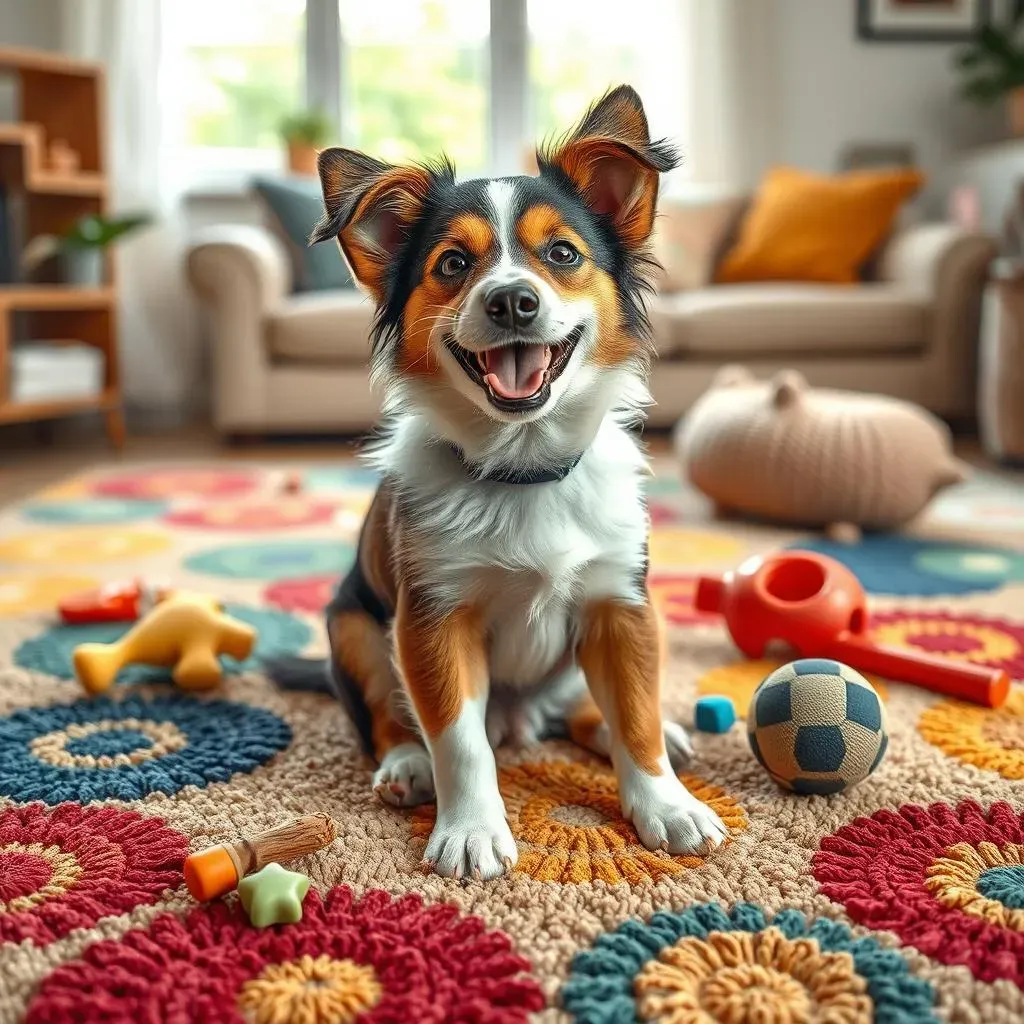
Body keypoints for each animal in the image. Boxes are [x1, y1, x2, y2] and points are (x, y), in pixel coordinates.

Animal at [282, 86, 729, 880]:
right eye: (454, 263)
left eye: (563, 254)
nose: (512, 300)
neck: (524, 470)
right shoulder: (432, 617)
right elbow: (459, 741)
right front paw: (469, 830)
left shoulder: (622, 605)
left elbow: (635, 717)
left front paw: (666, 803)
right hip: (352, 625)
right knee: (388, 717)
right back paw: (405, 764)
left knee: (588, 708)